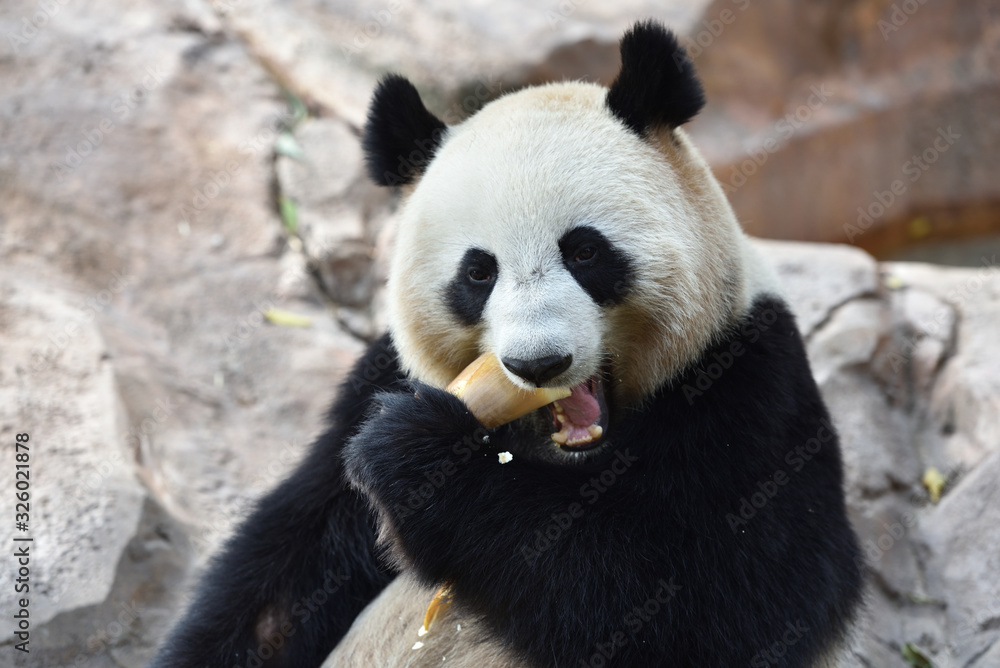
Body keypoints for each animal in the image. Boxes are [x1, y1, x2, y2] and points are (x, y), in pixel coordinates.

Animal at [152, 20, 863, 668]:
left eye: (584, 251)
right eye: (478, 272)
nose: (538, 363)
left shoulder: (749, 389)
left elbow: (714, 604)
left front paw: (422, 457)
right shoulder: (377, 382)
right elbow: (287, 576)